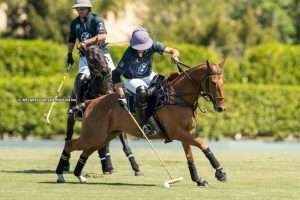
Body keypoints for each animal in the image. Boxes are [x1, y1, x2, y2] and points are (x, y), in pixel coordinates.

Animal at [55, 59, 226, 186]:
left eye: (223, 82)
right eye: (213, 83)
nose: (221, 107)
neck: (178, 98)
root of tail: (91, 101)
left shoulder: (185, 133)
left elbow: (190, 157)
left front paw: (199, 180)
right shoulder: (178, 132)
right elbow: (202, 143)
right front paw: (220, 172)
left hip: (103, 136)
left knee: (86, 151)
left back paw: (79, 176)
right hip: (93, 135)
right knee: (70, 144)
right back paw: (60, 175)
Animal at [60, 45, 142, 177]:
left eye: (103, 55)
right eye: (90, 58)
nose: (105, 71)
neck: (104, 90)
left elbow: (125, 146)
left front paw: (136, 168)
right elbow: (101, 146)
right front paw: (107, 167)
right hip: (72, 115)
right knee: (69, 137)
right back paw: (66, 164)